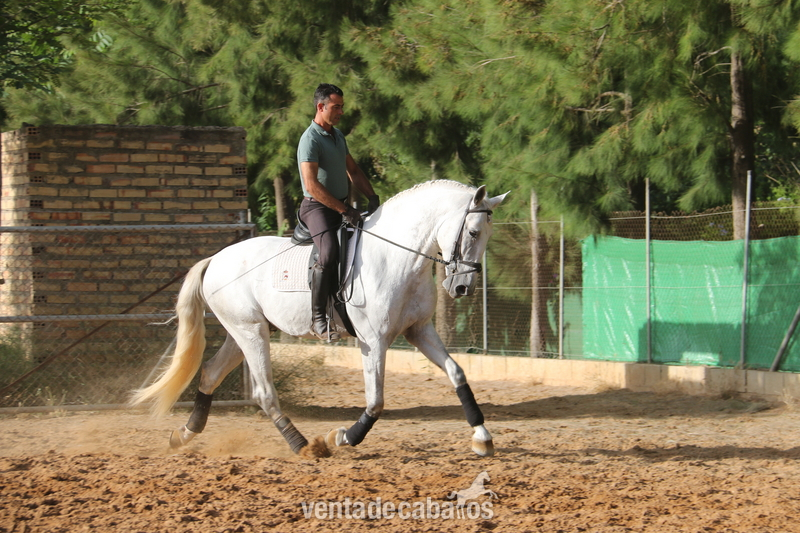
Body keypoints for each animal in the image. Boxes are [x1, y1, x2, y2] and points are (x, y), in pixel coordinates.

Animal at [131, 180, 508, 458]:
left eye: (488, 235)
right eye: (473, 233)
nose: (462, 287)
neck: (396, 257)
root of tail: (216, 259)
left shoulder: (419, 331)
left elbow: (457, 374)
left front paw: (482, 437)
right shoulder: (373, 342)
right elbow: (376, 402)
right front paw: (342, 437)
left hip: (242, 332)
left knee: (210, 373)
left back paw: (184, 434)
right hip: (251, 333)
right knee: (264, 393)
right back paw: (303, 445)